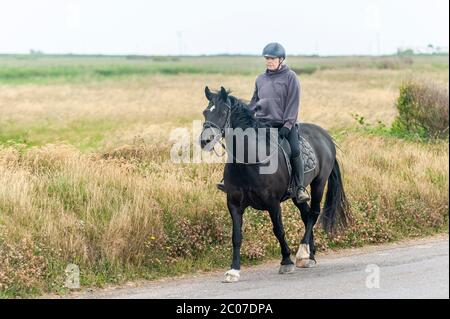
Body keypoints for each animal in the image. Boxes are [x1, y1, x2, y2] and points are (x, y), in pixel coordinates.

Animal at [200, 87, 352, 282]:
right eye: (205, 112)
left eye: (222, 112)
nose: (205, 141)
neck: (249, 161)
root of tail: (325, 136)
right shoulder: (233, 204)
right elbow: (236, 236)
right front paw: (233, 270)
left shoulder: (272, 203)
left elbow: (278, 230)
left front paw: (286, 261)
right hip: (296, 195)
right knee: (306, 215)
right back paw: (309, 255)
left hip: (319, 183)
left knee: (313, 214)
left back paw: (302, 253)